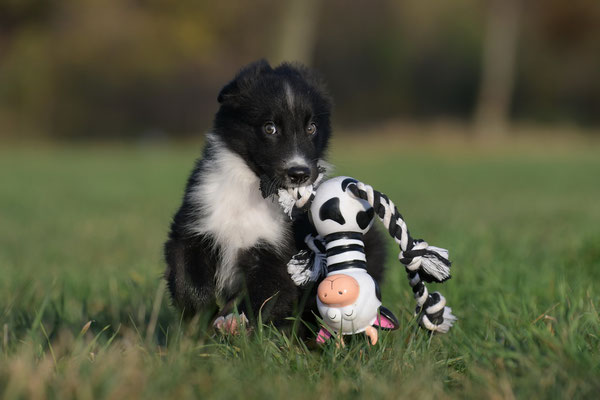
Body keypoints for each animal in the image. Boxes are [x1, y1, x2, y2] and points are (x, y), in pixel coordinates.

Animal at [163, 61, 384, 332]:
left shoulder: (276, 252)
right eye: (270, 128)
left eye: (311, 128)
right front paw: (198, 326)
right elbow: (189, 281)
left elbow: (266, 296)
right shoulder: (195, 225)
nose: (299, 173)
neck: (252, 191)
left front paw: (240, 327)